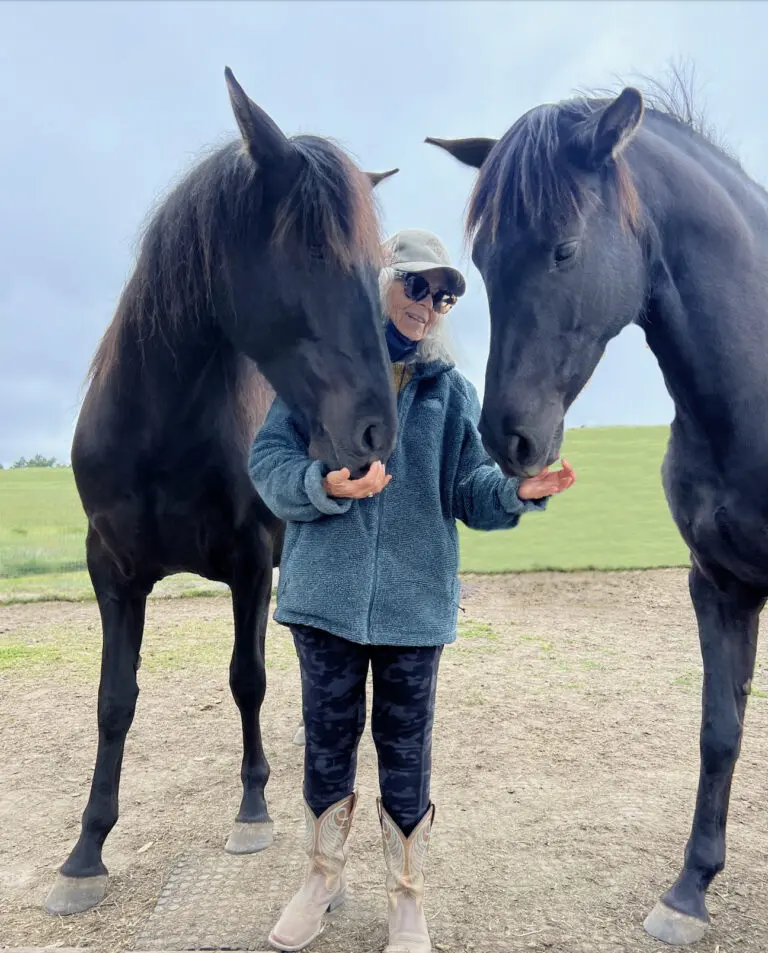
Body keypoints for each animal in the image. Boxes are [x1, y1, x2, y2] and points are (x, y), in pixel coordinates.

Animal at [44, 67, 399, 917]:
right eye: (311, 247)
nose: (377, 432)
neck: (160, 433)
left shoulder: (247, 563)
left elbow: (248, 679)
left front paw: (253, 808)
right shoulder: (113, 572)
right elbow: (114, 701)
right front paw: (85, 852)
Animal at [427, 79, 768, 945]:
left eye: (564, 250)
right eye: (483, 261)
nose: (508, 436)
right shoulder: (718, 585)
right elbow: (720, 729)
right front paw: (689, 889)